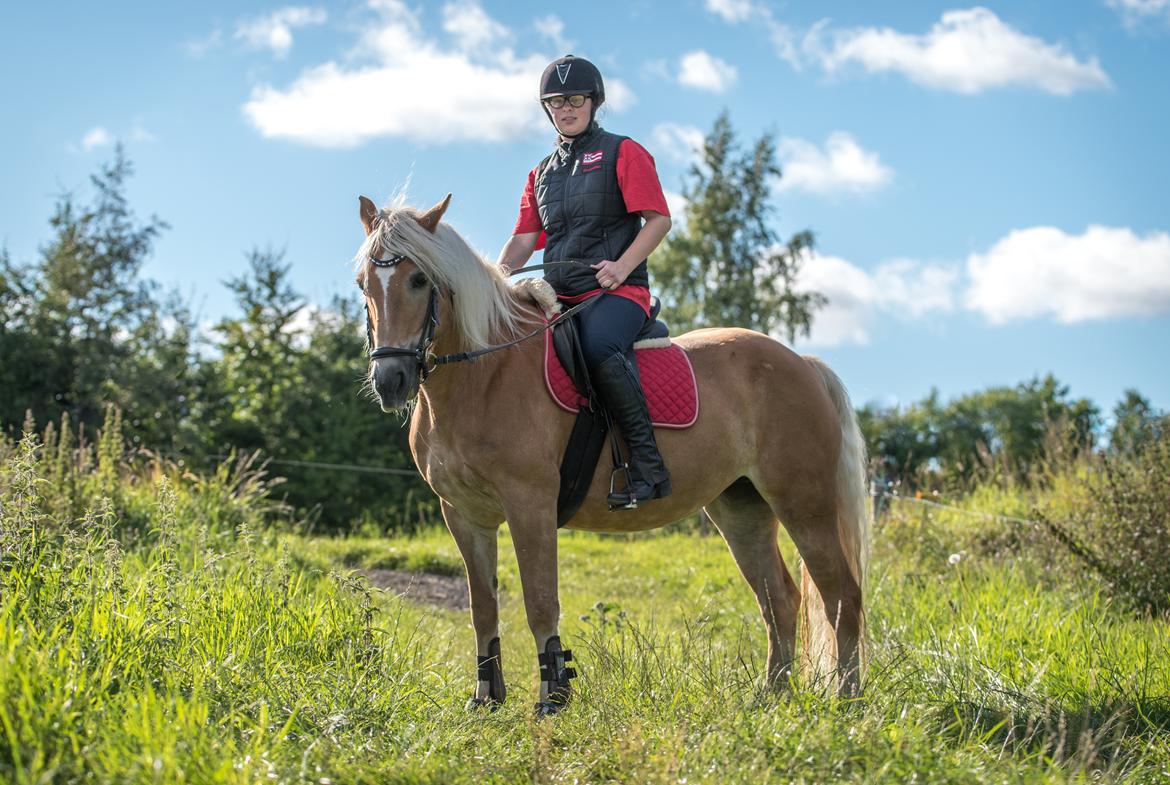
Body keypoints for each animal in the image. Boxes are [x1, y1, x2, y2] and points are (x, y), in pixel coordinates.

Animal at [355, 193, 870, 715]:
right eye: (364, 285)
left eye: (419, 280)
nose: (391, 381)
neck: (484, 375)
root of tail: (801, 363)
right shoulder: (463, 514)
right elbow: (483, 607)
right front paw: (485, 699)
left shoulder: (530, 505)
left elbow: (540, 601)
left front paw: (553, 697)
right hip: (742, 509)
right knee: (780, 600)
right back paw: (770, 697)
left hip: (805, 504)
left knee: (842, 596)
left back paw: (846, 699)